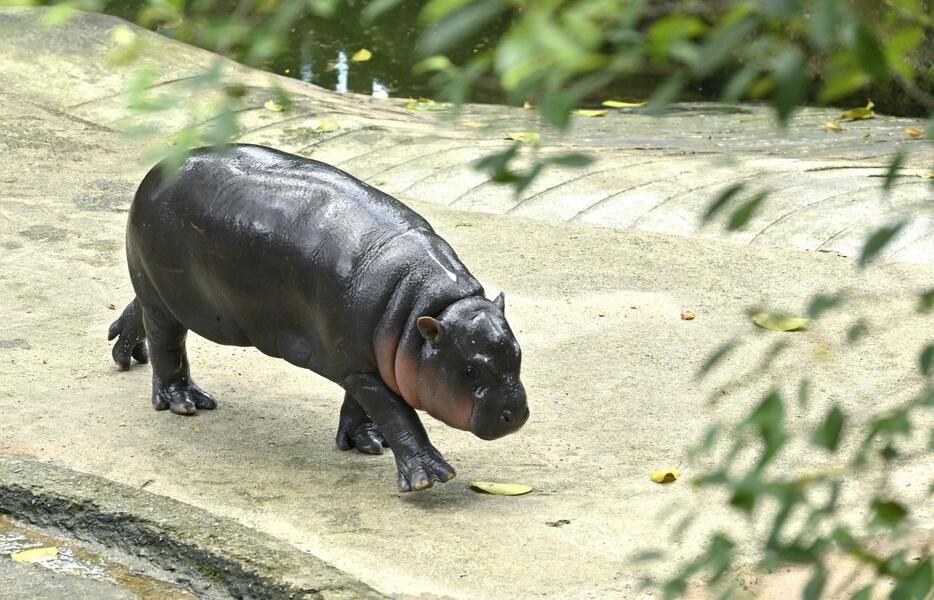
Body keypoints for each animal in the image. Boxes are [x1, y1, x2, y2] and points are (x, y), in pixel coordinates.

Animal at [107, 143, 532, 490]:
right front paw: (430, 476)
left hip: (165, 292)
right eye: (469, 370)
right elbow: (398, 413)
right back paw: (185, 403)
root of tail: (155, 170)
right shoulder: (362, 368)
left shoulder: (364, 361)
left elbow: (361, 404)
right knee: (168, 344)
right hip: (168, 297)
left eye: (518, 355)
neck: (425, 307)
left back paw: (125, 354)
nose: (516, 415)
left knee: (141, 311)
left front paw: (367, 443)